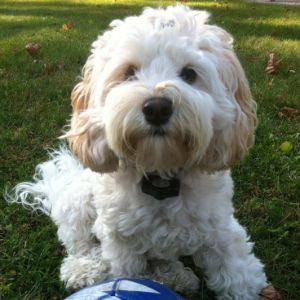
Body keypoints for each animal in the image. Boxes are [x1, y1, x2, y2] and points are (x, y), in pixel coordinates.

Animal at [13, 5, 278, 300]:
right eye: (129, 72)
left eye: (189, 74)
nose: (157, 108)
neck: (160, 175)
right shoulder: (120, 242)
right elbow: (126, 272)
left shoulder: (220, 227)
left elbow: (237, 269)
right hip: (79, 202)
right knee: (79, 242)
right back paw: (85, 268)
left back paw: (174, 275)